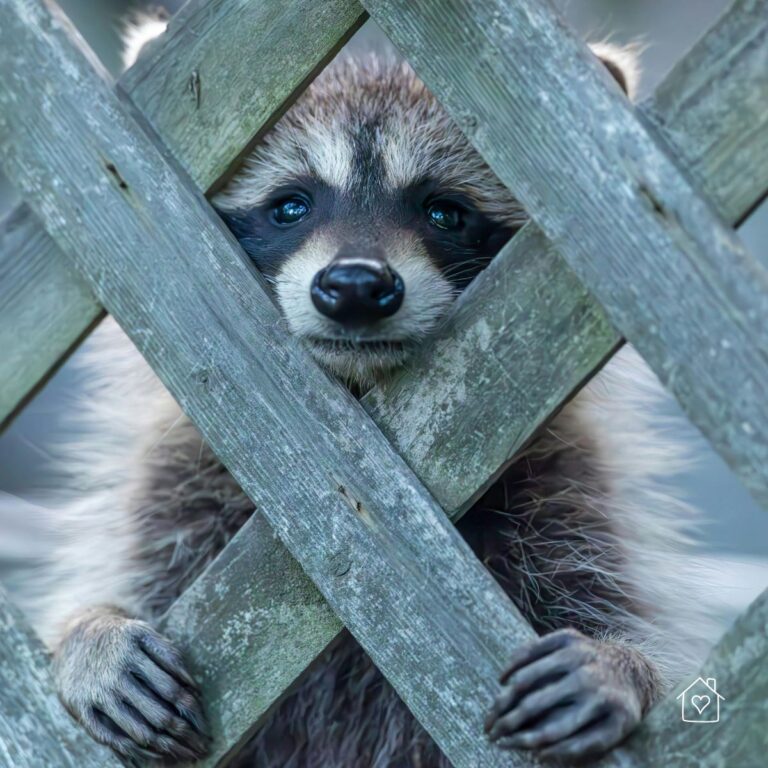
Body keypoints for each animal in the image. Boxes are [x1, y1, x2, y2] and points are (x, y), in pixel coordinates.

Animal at [15, 13, 706, 768]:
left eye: (444, 212)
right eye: (291, 206)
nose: (353, 287)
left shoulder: (568, 500)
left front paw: (618, 666)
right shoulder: (175, 498)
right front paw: (91, 633)